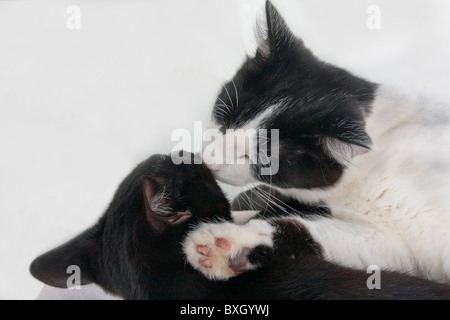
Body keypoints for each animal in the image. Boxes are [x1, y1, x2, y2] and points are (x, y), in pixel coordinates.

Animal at [184, 1, 450, 282]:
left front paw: (227, 241)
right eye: (225, 120)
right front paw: (232, 244)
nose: (207, 160)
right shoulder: (389, 243)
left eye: (263, 159)